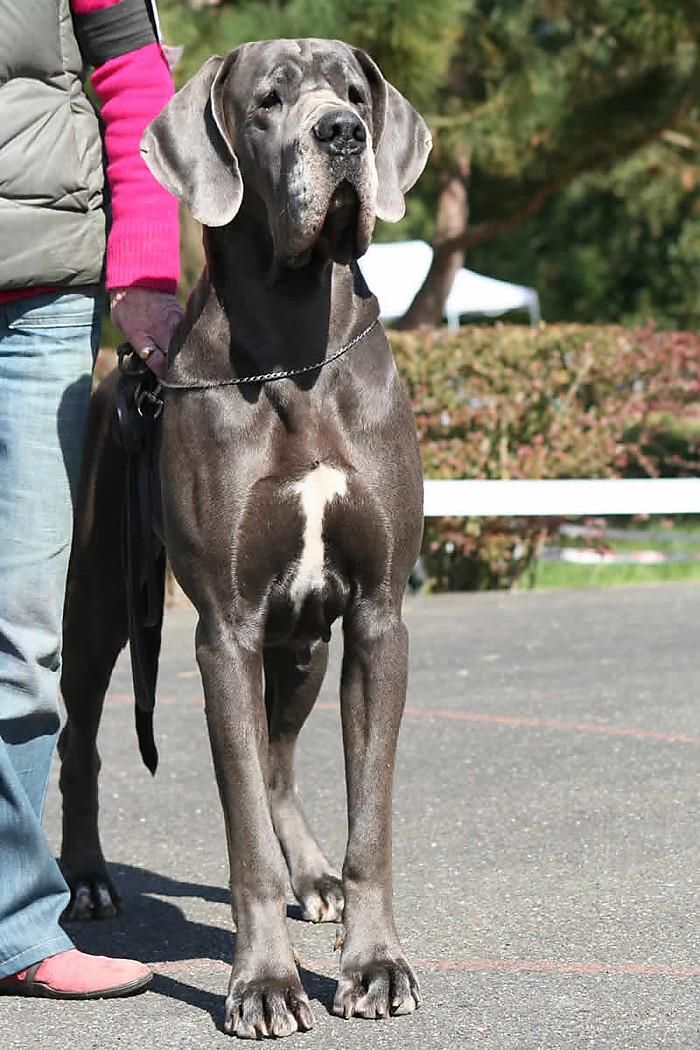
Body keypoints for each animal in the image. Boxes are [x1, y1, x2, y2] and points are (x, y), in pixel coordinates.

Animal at [58, 38, 431, 1038]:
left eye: (354, 94)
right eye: (267, 101)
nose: (341, 136)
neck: (296, 354)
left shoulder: (375, 615)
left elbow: (371, 817)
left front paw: (374, 965)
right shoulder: (224, 628)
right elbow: (241, 842)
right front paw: (263, 983)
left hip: (301, 641)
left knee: (278, 757)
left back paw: (314, 873)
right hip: (101, 601)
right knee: (80, 740)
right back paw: (88, 879)